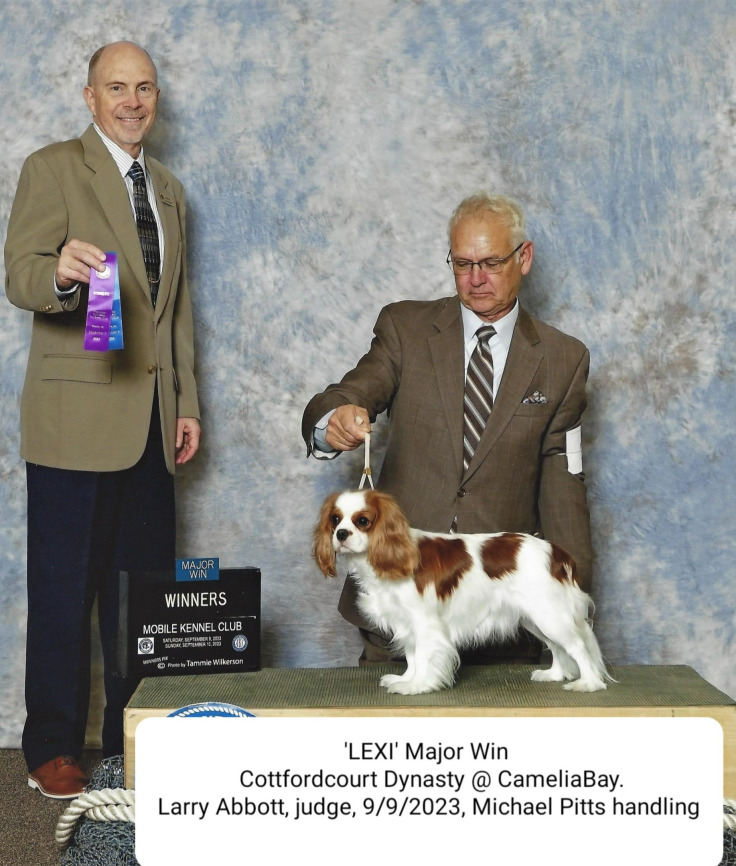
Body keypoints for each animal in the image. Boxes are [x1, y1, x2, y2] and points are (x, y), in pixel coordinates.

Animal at [314, 489, 610, 695]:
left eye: (362, 521)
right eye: (335, 520)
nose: (341, 534)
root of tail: (556, 552)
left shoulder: (425, 622)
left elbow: (423, 655)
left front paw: (417, 685)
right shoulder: (406, 622)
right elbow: (412, 655)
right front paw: (406, 679)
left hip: (549, 614)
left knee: (578, 646)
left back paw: (589, 683)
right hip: (536, 618)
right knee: (558, 647)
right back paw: (554, 675)